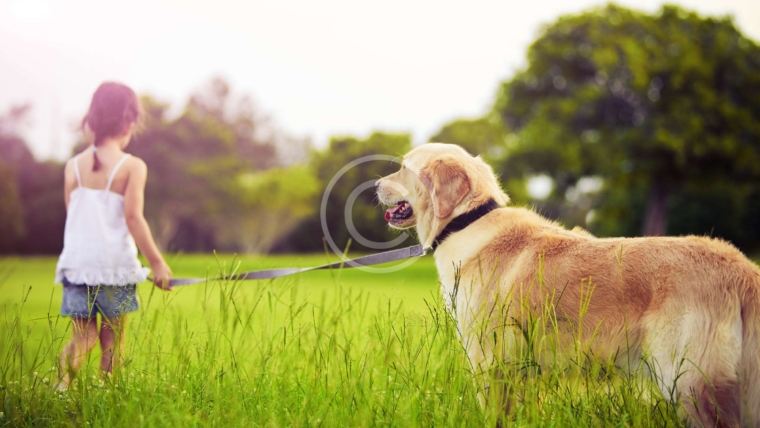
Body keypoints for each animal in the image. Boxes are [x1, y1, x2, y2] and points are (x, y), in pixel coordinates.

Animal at [376, 143, 760, 424]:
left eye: (404, 168)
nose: (376, 184)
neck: (467, 221)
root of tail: (742, 268)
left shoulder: (489, 360)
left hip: (690, 382)